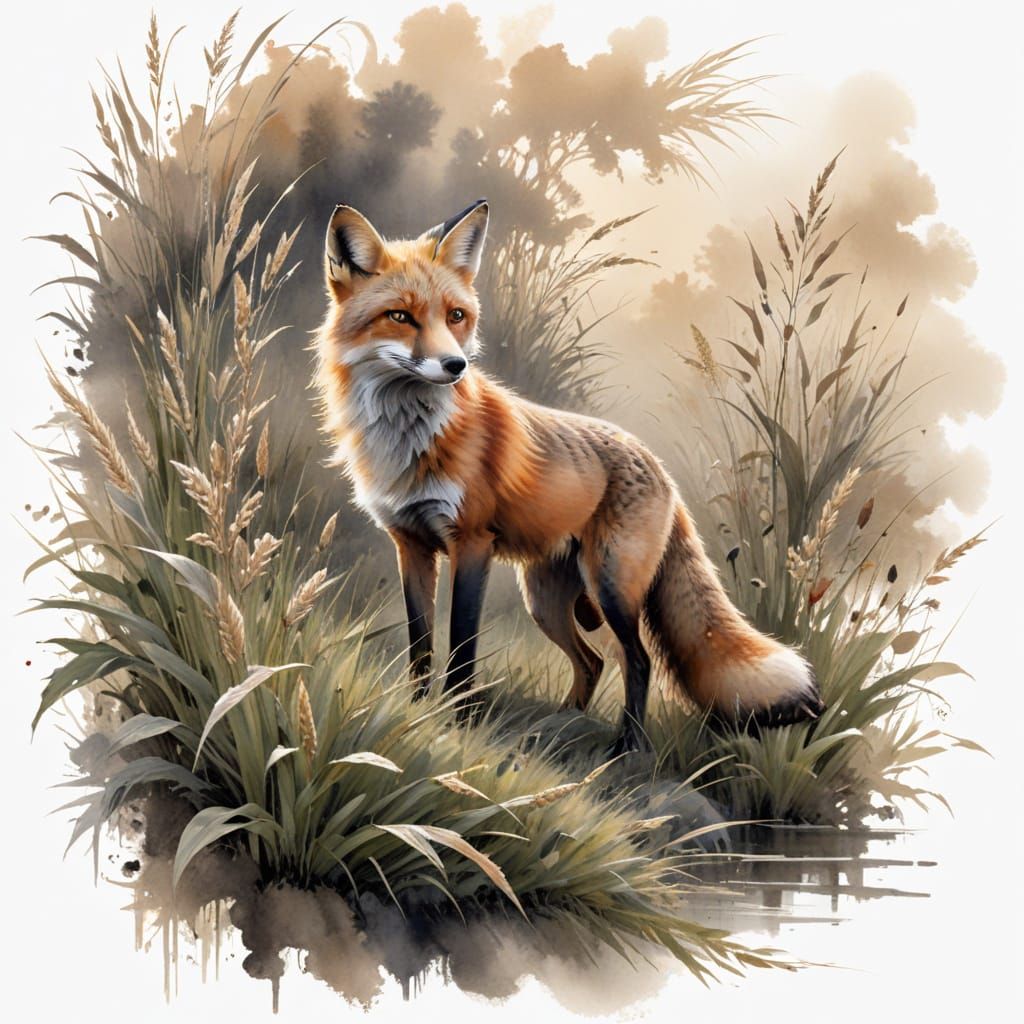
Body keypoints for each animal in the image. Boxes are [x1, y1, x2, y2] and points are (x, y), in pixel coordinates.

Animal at [312, 197, 825, 755]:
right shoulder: (410, 544)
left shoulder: (470, 543)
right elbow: (421, 646)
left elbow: (463, 648)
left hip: (611, 587)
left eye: (456, 316)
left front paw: (458, 725)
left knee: (637, 660)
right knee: (593, 661)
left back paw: (626, 745)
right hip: (546, 600)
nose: (455, 366)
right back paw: (562, 725)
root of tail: (659, 467)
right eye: (400, 317)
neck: (409, 441)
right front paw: (415, 714)